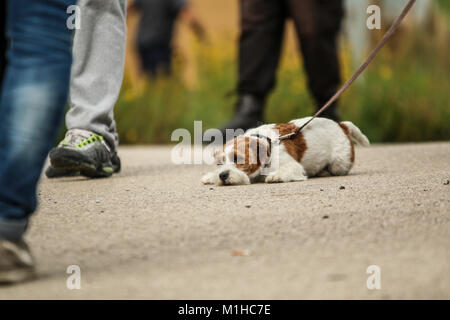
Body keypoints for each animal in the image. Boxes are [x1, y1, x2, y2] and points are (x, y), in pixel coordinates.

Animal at [200, 117, 370, 186]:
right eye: (219, 163)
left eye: (238, 159)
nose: (222, 175)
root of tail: (341, 125)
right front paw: (210, 176)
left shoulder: (293, 165)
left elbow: (287, 169)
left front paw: (276, 176)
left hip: (339, 164)